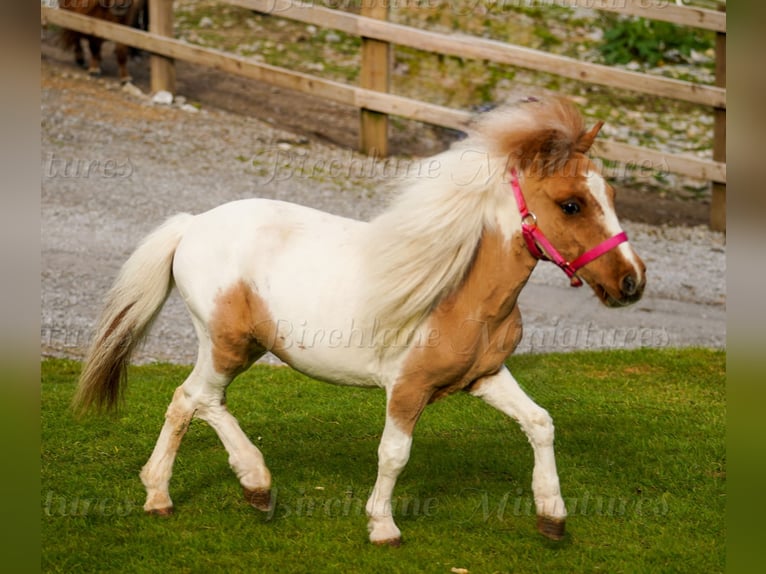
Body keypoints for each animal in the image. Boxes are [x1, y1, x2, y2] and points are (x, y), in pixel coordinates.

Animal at [73, 97, 646, 545]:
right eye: (570, 205)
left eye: (612, 196)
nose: (632, 282)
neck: (460, 292)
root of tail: (192, 225)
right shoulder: (407, 388)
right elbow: (394, 454)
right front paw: (383, 528)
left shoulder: (485, 377)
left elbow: (540, 423)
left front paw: (553, 518)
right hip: (226, 344)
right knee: (197, 398)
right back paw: (240, 485)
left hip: (246, 346)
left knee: (192, 402)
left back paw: (180, 494)